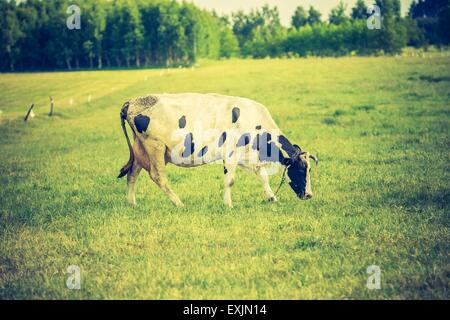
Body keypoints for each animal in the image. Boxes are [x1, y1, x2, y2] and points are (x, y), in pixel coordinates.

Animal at [118, 92, 318, 208]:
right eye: (301, 169)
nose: (309, 195)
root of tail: (132, 102)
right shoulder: (230, 154)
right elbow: (230, 181)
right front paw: (228, 205)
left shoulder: (250, 156)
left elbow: (263, 176)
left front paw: (272, 199)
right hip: (155, 147)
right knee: (157, 176)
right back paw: (179, 203)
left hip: (141, 149)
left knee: (133, 173)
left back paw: (132, 203)